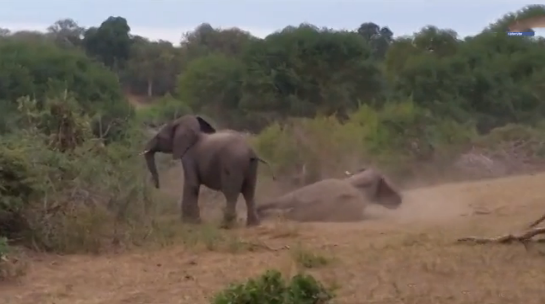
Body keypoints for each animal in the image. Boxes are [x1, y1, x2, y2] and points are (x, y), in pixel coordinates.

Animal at [141, 115, 272, 227]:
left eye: (159, 137)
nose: (157, 186)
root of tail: (251, 152)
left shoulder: (189, 156)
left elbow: (192, 184)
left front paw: (190, 222)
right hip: (252, 167)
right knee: (249, 191)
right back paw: (253, 224)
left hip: (233, 164)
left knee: (230, 192)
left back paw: (225, 225)